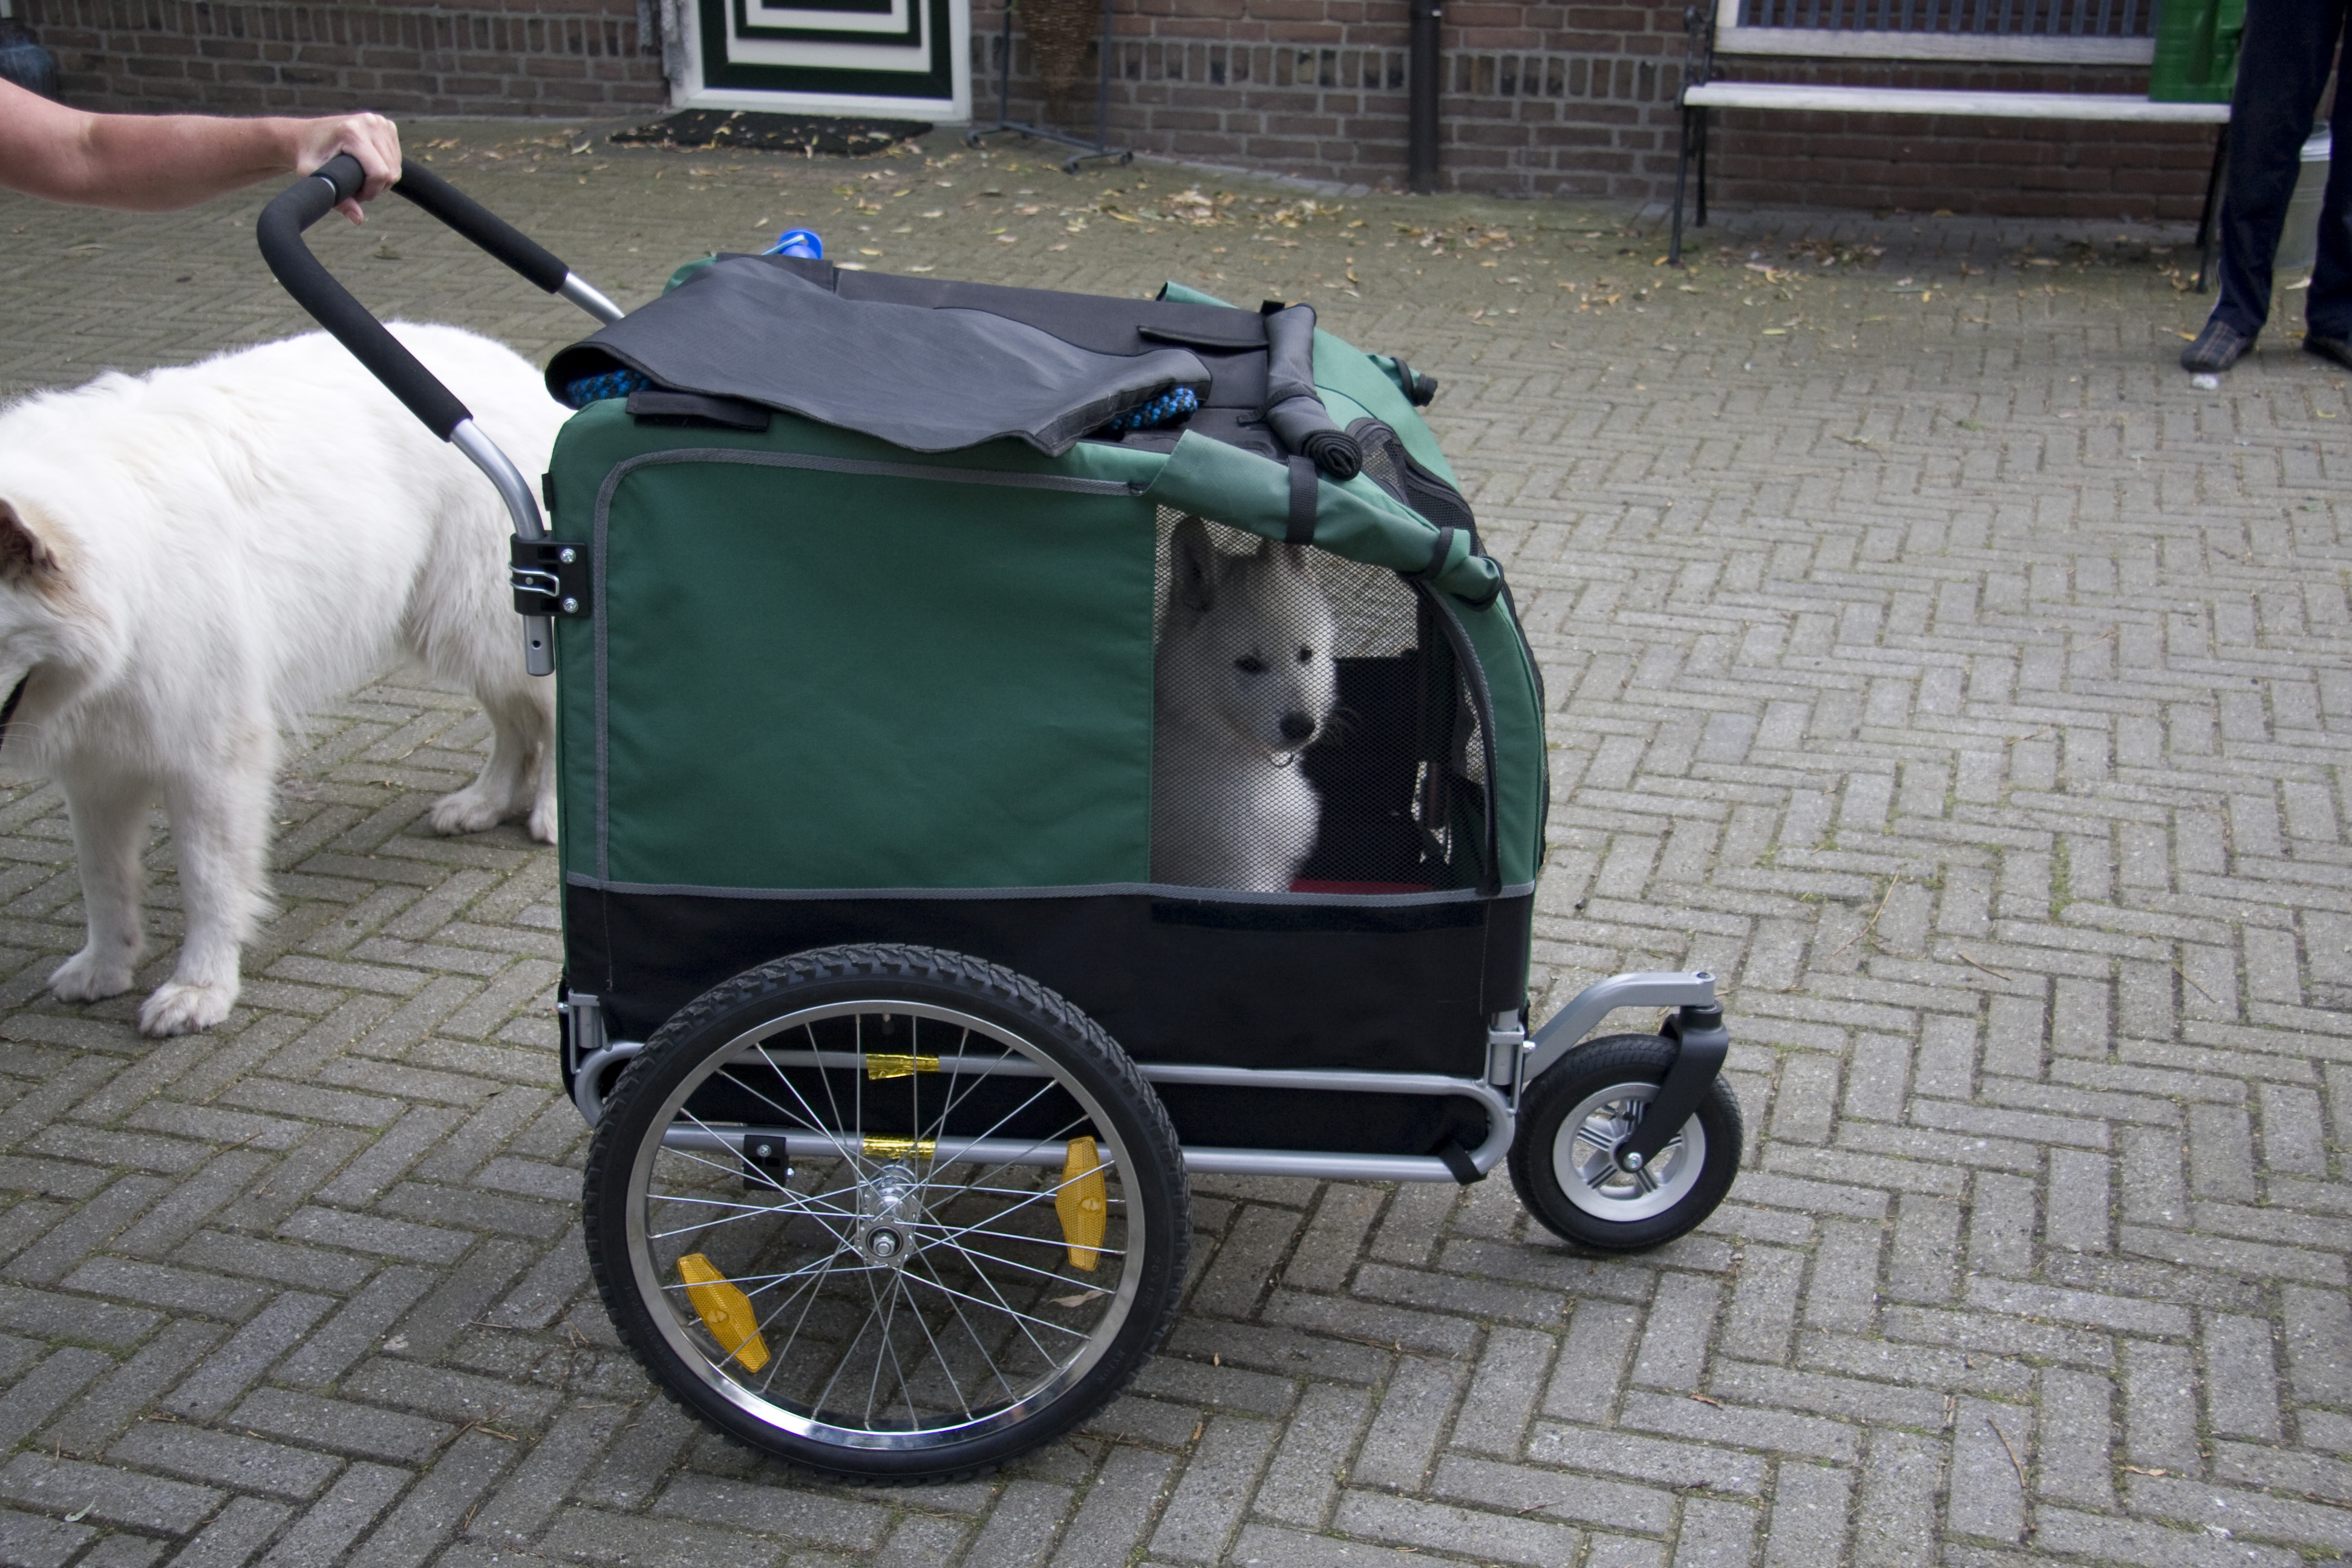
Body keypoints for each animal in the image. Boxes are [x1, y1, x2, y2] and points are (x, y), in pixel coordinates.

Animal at [0, 324, 566, 1036]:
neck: (123, 567)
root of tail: (510, 364)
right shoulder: (99, 762)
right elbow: (102, 879)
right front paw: (106, 967)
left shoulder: (213, 759)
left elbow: (209, 881)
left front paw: (202, 987)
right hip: (457, 629)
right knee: (515, 721)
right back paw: (486, 802)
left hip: (489, 624)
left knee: (553, 709)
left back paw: (552, 811)